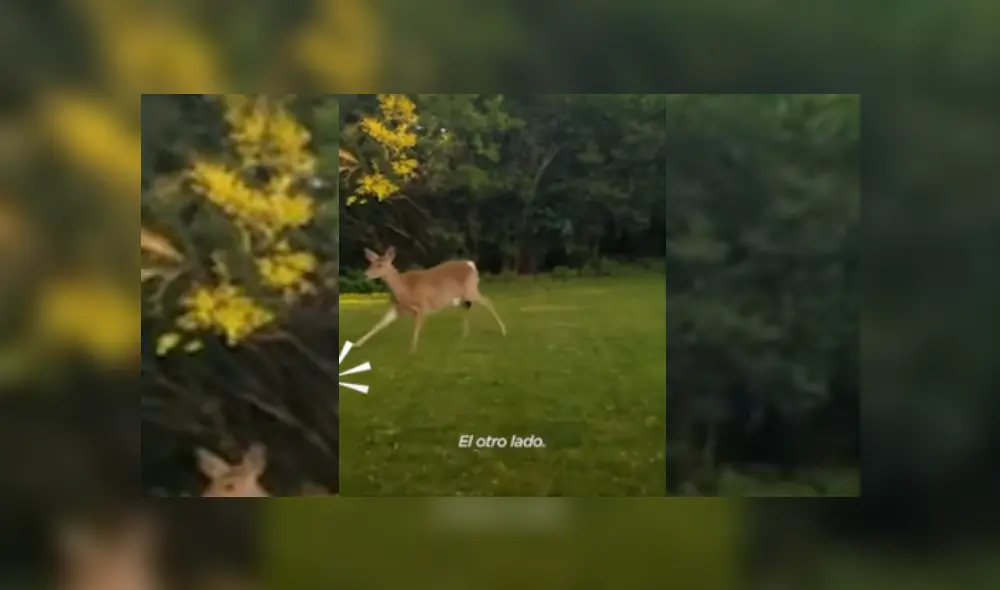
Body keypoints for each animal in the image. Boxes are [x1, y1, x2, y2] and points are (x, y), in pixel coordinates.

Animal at [355, 246, 507, 353]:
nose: (365, 274)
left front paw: (412, 350)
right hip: (461, 296)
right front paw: (357, 344)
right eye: (371, 263)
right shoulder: (397, 308)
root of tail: (471, 265)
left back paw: (503, 331)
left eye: (380, 265)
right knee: (467, 307)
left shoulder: (423, 305)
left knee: (487, 301)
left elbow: (416, 328)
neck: (405, 290)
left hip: (471, 290)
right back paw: (464, 335)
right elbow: (379, 324)